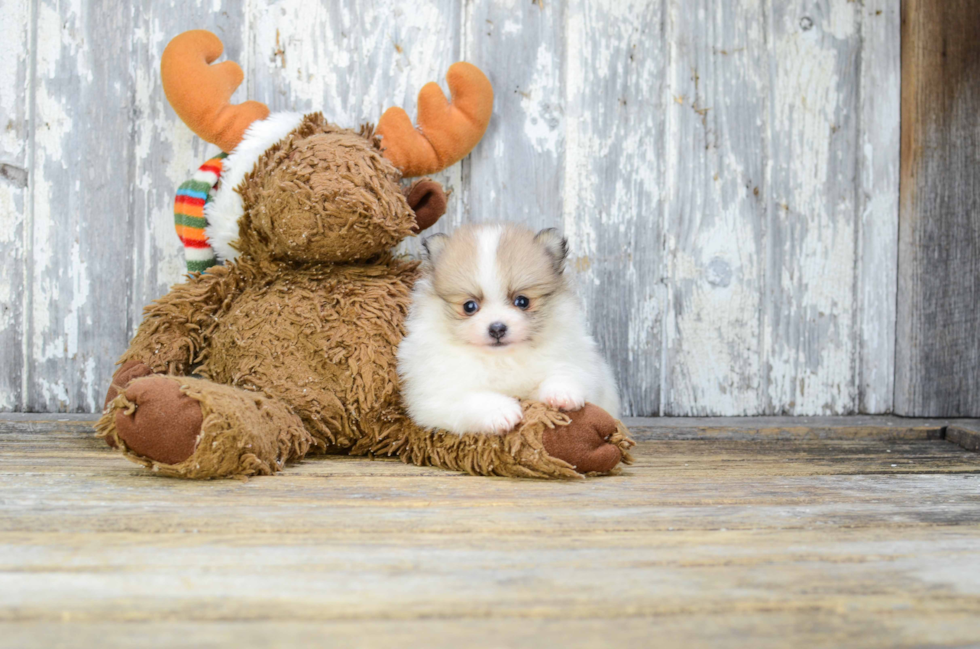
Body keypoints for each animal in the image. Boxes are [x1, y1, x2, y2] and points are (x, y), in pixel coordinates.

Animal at [394, 223, 616, 436]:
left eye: (522, 301)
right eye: (469, 306)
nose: (497, 328)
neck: (502, 359)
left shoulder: (577, 359)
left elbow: (567, 372)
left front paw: (562, 393)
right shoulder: (437, 393)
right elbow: (471, 398)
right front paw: (500, 411)